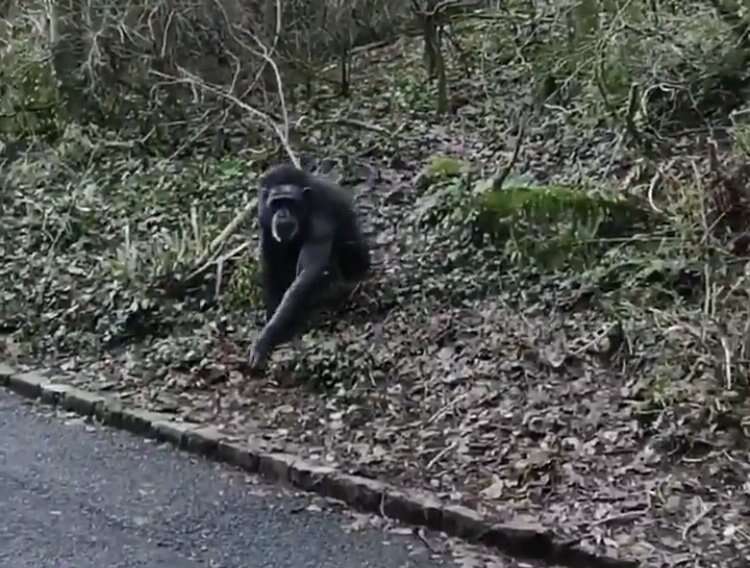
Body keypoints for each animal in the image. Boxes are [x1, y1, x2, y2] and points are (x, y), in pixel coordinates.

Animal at [247, 163, 374, 372]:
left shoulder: (322, 216)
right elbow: (271, 265)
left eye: (290, 202)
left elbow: (309, 272)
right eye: (276, 203)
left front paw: (266, 337)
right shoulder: (264, 219)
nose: (283, 213)